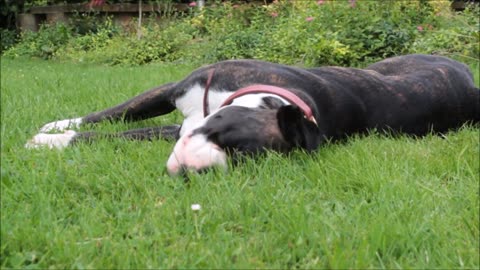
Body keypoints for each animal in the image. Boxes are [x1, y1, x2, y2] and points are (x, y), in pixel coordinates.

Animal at [27, 54, 480, 177]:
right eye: (232, 142)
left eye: (245, 158)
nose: (198, 172)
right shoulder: (172, 93)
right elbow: (111, 115)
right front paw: (56, 130)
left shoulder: (177, 126)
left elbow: (121, 132)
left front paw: (53, 140)